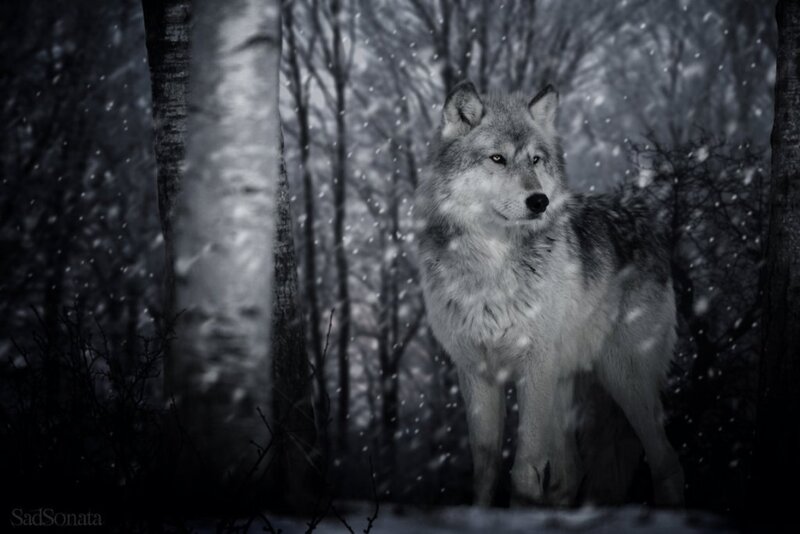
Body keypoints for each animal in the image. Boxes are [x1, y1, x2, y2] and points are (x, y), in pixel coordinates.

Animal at [415, 80, 685, 507]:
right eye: (497, 158)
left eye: (536, 160)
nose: (539, 200)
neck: (493, 264)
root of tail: (649, 226)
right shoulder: (475, 370)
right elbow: (486, 465)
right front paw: (482, 512)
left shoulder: (535, 364)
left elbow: (525, 464)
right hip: (568, 385)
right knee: (571, 471)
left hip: (625, 378)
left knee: (666, 460)